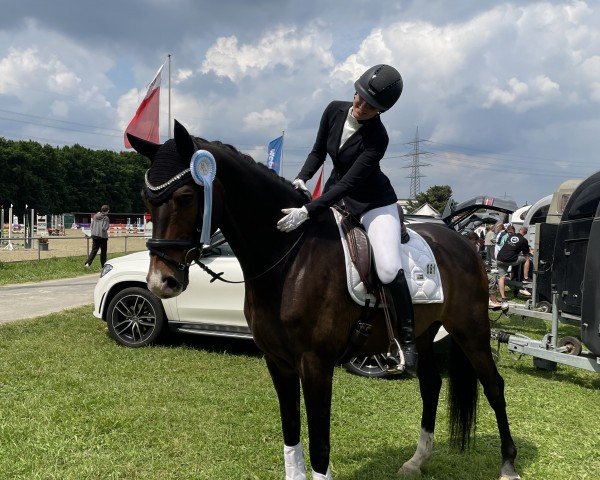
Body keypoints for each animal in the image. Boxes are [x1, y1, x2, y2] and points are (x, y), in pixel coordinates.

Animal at [129, 120, 516, 480]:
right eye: (146, 200)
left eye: (185, 197)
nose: (161, 282)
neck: (289, 257)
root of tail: (462, 241)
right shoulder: (278, 361)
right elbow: (291, 431)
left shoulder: (316, 364)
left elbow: (319, 443)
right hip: (425, 331)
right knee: (431, 385)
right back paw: (416, 460)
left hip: (470, 329)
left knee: (494, 386)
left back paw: (508, 464)